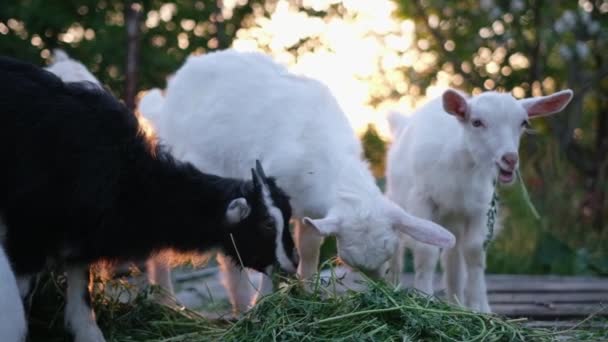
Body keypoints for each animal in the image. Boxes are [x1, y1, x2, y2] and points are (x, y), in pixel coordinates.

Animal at [0, 56, 296, 342]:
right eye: (266, 224)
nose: (292, 265)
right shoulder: (28, 237)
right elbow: (22, 300)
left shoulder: (82, 241)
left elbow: (81, 303)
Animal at [140, 49, 454, 314]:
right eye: (348, 263)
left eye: (388, 264)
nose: (379, 295)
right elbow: (274, 255)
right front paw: (266, 302)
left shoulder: (312, 211)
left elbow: (308, 251)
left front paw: (307, 290)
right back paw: (178, 302)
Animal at [388, 88, 572, 312]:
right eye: (476, 122)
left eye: (523, 122)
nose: (510, 159)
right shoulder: (421, 199)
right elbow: (426, 251)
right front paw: (424, 297)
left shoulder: (480, 208)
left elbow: (474, 252)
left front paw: (479, 307)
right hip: (397, 198)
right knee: (399, 240)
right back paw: (391, 284)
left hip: (454, 220)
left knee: (453, 257)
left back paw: (456, 303)